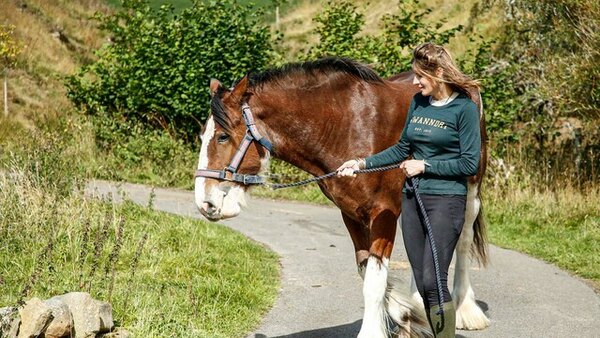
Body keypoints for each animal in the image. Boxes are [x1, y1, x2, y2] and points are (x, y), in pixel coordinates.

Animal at [195, 56, 490, 336]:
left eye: (222, 137)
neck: (347, 127)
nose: (204, 203)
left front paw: (375, 330)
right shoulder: (351, 214)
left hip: (470, 192)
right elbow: (366, 270)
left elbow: (374, 281)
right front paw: (405, 313)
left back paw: (466, 310)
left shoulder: (383, 213)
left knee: (462, 242)